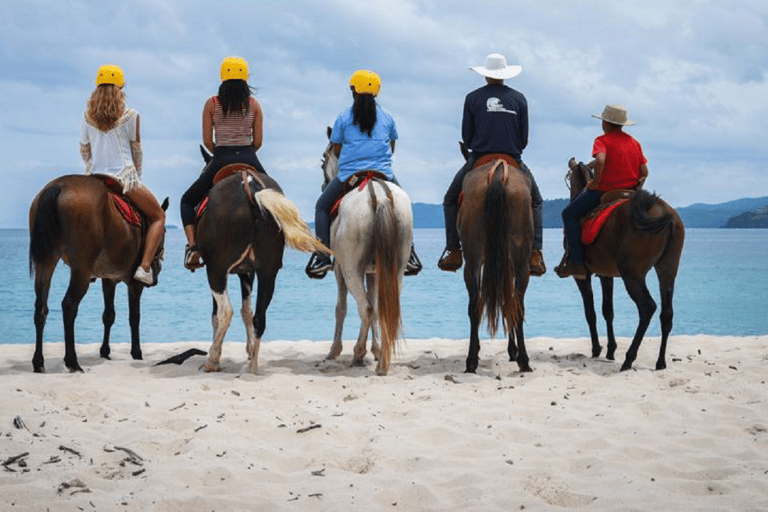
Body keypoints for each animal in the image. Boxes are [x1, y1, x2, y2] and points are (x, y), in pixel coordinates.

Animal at [29, 175, 170, 372]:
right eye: (164, 231)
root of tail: (57, 187)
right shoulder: (135, 285)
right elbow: (134, 317)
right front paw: (137, 353)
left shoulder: (109, 279)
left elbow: (108, 315)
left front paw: (105, 351)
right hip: (81, 269)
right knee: (69, 305)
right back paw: (72, 361)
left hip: (46, 262)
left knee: (41, 308)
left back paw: (39, 362)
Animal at [195, 150, 328, 374]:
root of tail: (252, 191)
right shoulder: (247, 272)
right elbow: (247, 312)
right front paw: (249, 351)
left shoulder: (223, 271)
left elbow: (218, 315)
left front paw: (217, 355)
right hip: (268, 272)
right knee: (259, 318)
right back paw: (253, 368)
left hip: (216, 270)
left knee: (226, 312)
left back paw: (212, 360)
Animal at [320, 128, 414, 376]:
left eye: (323, 160)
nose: (324, 186)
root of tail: (378, 196)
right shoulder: (374, 272)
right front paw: (377, 350)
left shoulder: (340, 270)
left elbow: (341, 308)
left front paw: (335, 350)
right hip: (396, 268)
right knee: (383, 308)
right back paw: (383, 361)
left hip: (351, 270)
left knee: (366, 308)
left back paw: (358, 354)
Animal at [456, 151, 536, 372]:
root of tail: (498, 174)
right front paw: (512, 350)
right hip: (519, 263)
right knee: (516, 304)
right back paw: (523, 360)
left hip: (474, 260)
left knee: (476, 304)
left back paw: (472, 360)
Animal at [564, 158, 684, 370]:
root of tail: (665, 214)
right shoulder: (605, 273)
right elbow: (607, 310)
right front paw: (610, 350)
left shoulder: (582, 275)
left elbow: (590, 312)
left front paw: (597, 349)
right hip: (668, 269)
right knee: (666, 313)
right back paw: (660, 362)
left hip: (633, 275)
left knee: (647, 307)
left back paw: (629, 358)